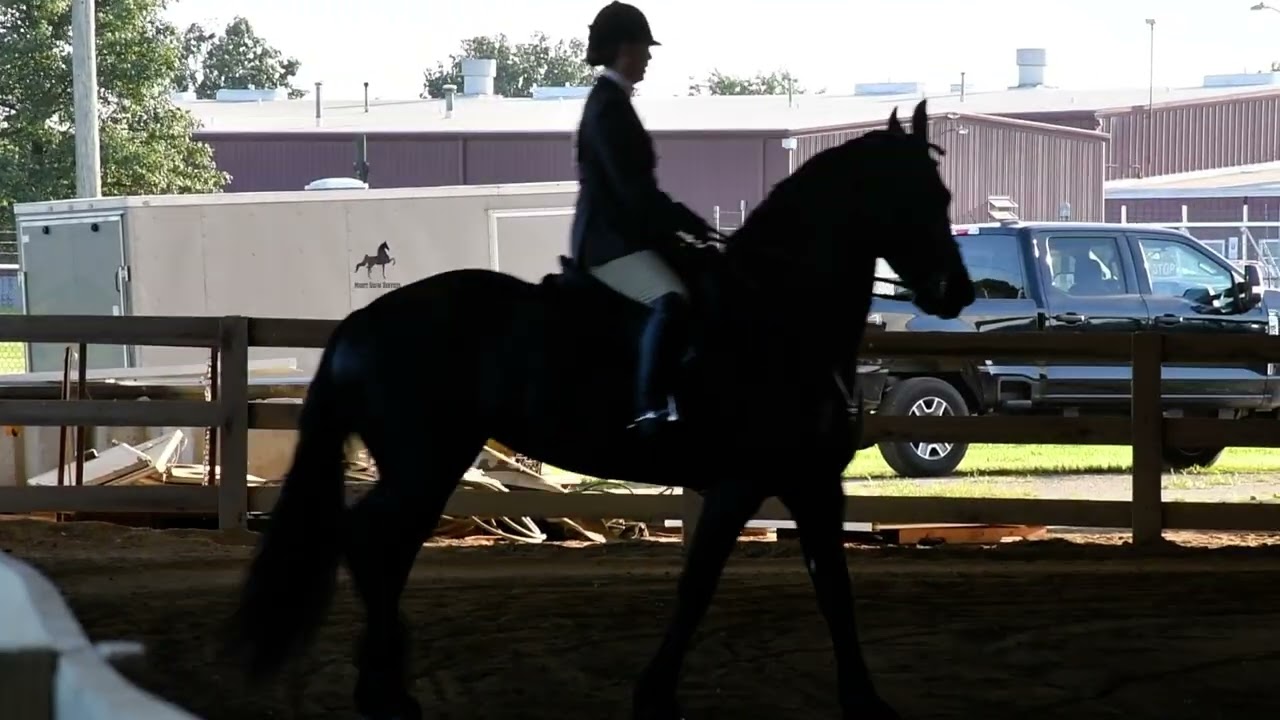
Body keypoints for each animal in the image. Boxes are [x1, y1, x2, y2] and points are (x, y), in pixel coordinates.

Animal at [225, 99, 975, 720]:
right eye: (919, 196)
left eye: (943, 193)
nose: (958, 293)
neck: (778, 315)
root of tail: (361, 320)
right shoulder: (741, 485)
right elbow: (700, 586)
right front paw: (656, 695)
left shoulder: (814, 483)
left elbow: (834, 591)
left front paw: (865, 701)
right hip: (425, 463)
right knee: (372, 542)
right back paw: (387, 691)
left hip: (429, 464)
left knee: (385, 547)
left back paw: (383, 688)